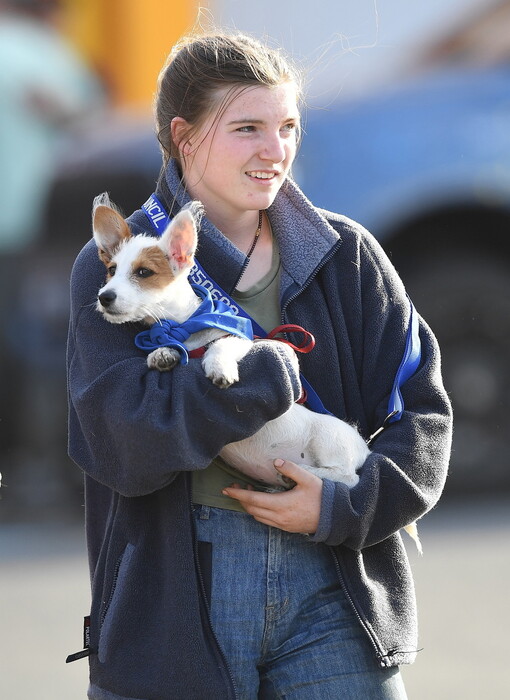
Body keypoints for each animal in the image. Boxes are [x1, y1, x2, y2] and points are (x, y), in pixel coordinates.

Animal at [93, 193, 420, 552]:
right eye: (111, 271)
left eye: (144, 272)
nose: (104, 297)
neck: (184, 327)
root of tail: (365, 448)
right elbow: (169, 350)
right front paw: (163, 354)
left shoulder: (241, 340)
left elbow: (220, 347)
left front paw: (218, 366)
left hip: (330, 441)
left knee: (348, 477)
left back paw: (304, 473)